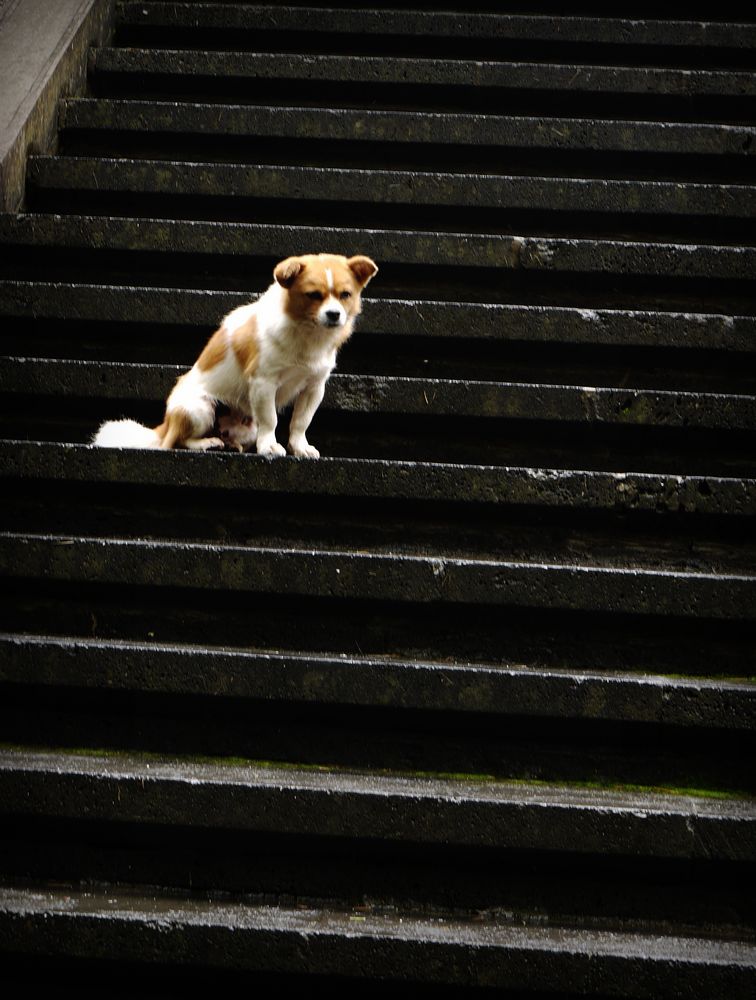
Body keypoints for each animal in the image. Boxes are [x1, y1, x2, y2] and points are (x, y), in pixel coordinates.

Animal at [93, 250, 376, 458]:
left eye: (345, 295)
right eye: (314, 295)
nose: (334, 314)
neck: (308, 335)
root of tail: (166, 423)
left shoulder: (314, 387)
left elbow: (300, 422)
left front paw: (299, 448)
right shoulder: (263, 383)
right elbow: (271, 420)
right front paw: (269, 447)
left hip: (245, 425)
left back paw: (230, 444)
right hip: (200, 408)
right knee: (176, 442)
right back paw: (206, 443)